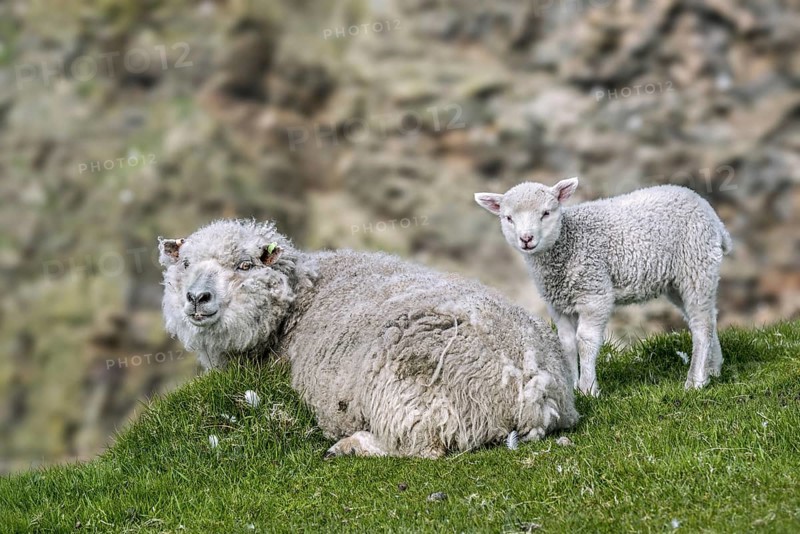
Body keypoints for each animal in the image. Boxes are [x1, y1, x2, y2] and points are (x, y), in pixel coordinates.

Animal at [158, 219, 578, 458]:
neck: (301, 296)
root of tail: (533, 382)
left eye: (244, 266)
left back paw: (349, 446)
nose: (197, 298)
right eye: (185, 264)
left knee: (420, 447)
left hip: (417, 395)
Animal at [475, 179, 732, 396]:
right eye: (508, 218)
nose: (526, 239)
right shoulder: (558, 303)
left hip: (696, 266)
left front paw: (588, 388)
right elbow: (566, 343)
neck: (567, 241)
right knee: (708, 317)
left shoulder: (594, 292)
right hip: (677, 281)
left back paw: (695, 381)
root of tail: (712, 216)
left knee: (701, 324)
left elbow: (585, 340)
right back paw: (713, 368)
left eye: (546, 213)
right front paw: (571, 385)